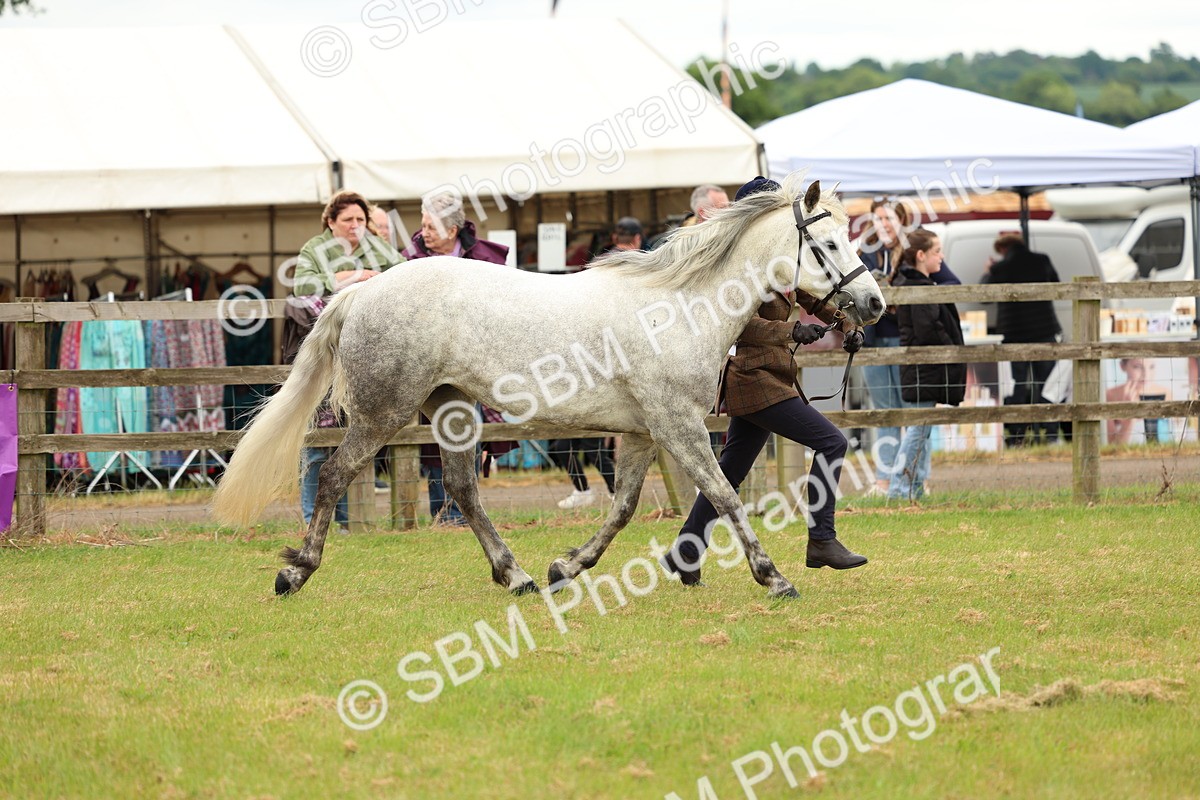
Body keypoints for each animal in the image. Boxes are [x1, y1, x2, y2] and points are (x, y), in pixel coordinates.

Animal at [212, 174, 885, 599]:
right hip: (384, 413)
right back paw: (295, 573)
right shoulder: (678, 424)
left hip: (452, 409)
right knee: (333, 477)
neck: (679, 305)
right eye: (827, 243)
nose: (874, 304)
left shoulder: (642, 432)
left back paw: (518, 576)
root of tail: (360, 291)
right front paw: (775, 578)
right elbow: (724, 496)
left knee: (462, 489)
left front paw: (567, 566)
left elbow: (623, 507)